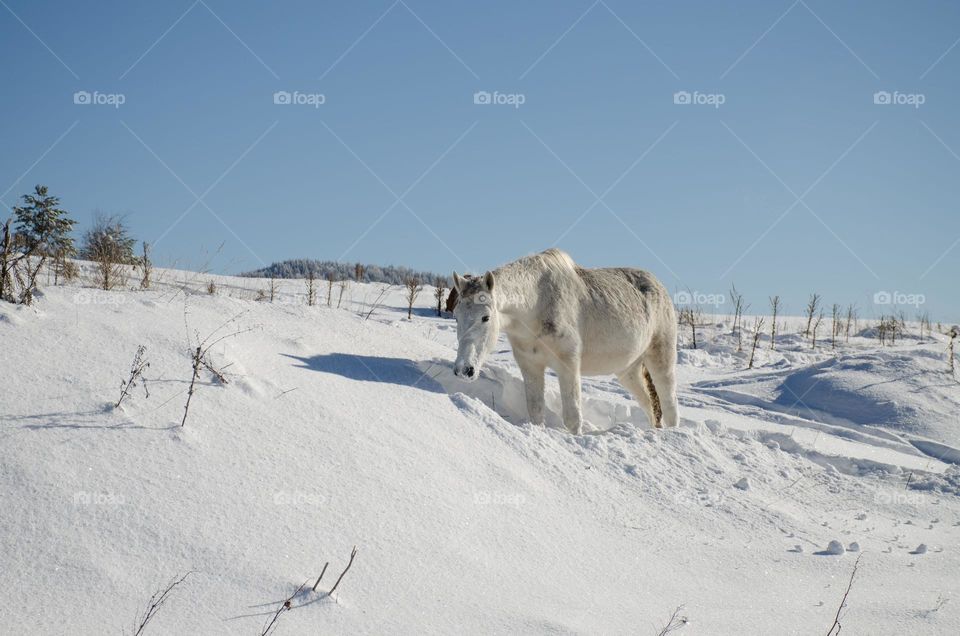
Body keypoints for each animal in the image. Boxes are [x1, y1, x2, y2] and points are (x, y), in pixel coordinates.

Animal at [454, 247, 680, 432]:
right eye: (456, 315)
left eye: (486, 317)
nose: (464, 370)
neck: (536, 305)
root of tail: (659, 287)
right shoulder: (530, 366)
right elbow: (535, 411)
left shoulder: (568, 365)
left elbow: (572, 418)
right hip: (628, 370)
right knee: (649, 404)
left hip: (660, 358)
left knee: (669, 405)